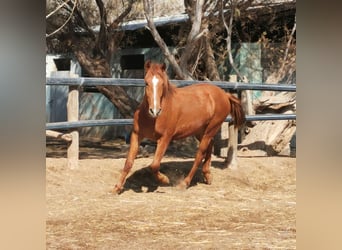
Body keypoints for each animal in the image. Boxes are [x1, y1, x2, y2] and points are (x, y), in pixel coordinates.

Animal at [113, 61, 244, 193]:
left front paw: (165, 180)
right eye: (146, 83)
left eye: (162, 84)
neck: (153, 119)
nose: (154, 111)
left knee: (199, 155)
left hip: (211, 128)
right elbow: (128, 162)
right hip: (200, 131)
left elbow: (154, 165)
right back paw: (207, 175)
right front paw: (116, 188)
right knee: (210, 145)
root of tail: (225, 94)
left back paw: (184, 183)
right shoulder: (136, 135)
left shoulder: (165, 138)